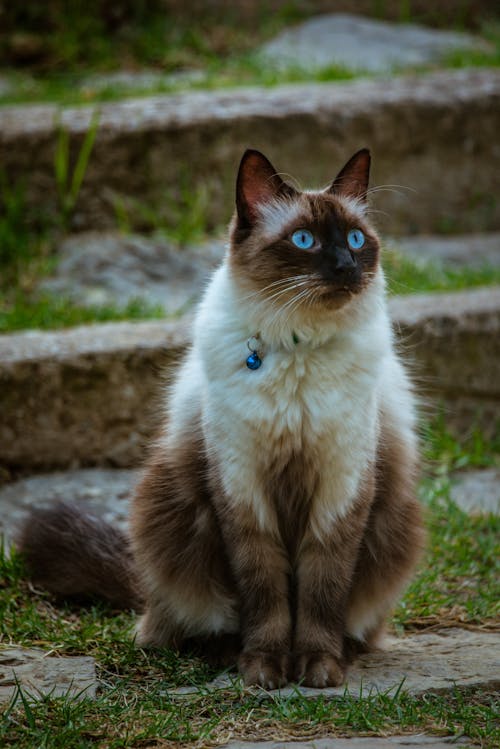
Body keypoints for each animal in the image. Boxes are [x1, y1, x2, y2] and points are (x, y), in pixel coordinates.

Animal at [17, 148, 424, 688]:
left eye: (356, 240)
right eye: (305, 240)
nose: (345, 266)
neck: (298, 347)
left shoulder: (340, 490)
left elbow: (322, 592)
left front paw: (318, 670)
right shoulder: (242, 490)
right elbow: (265, 593)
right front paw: (265, 671)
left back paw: (343, 652)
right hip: (167, 522)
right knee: (185, 622)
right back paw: (226, 653)